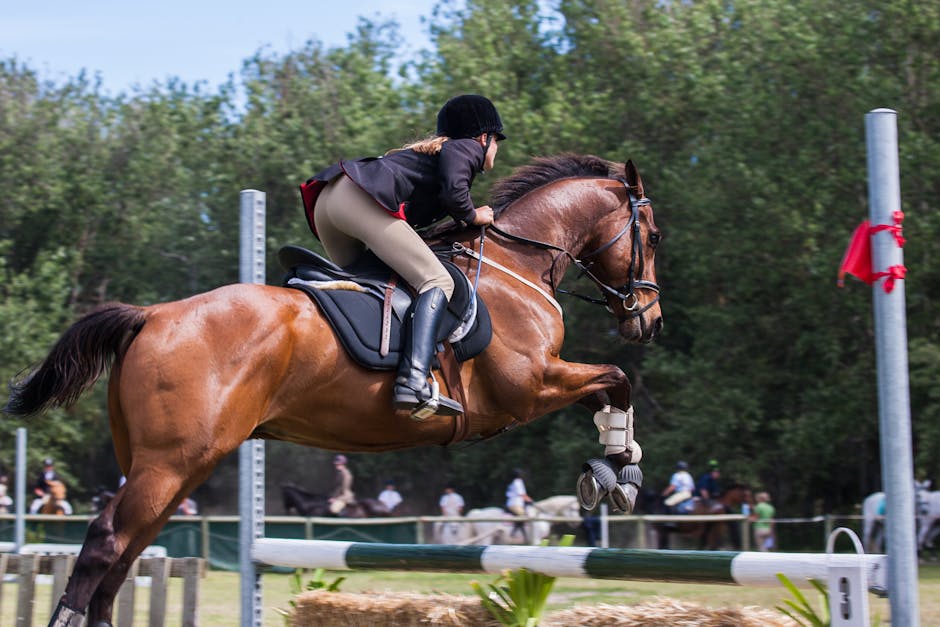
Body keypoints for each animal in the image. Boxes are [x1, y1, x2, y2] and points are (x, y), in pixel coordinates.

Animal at [3, 154, 662, 626]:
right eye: (651, 236)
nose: (648, 321)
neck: (515, 266)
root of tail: (152, 316)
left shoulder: (539, 385)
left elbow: (608, 387)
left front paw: (617, 465)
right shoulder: (528, 387)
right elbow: (616, 379)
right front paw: (618, 473)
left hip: (175, 466)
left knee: (127, 554)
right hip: (168, 464)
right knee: (105, 542)